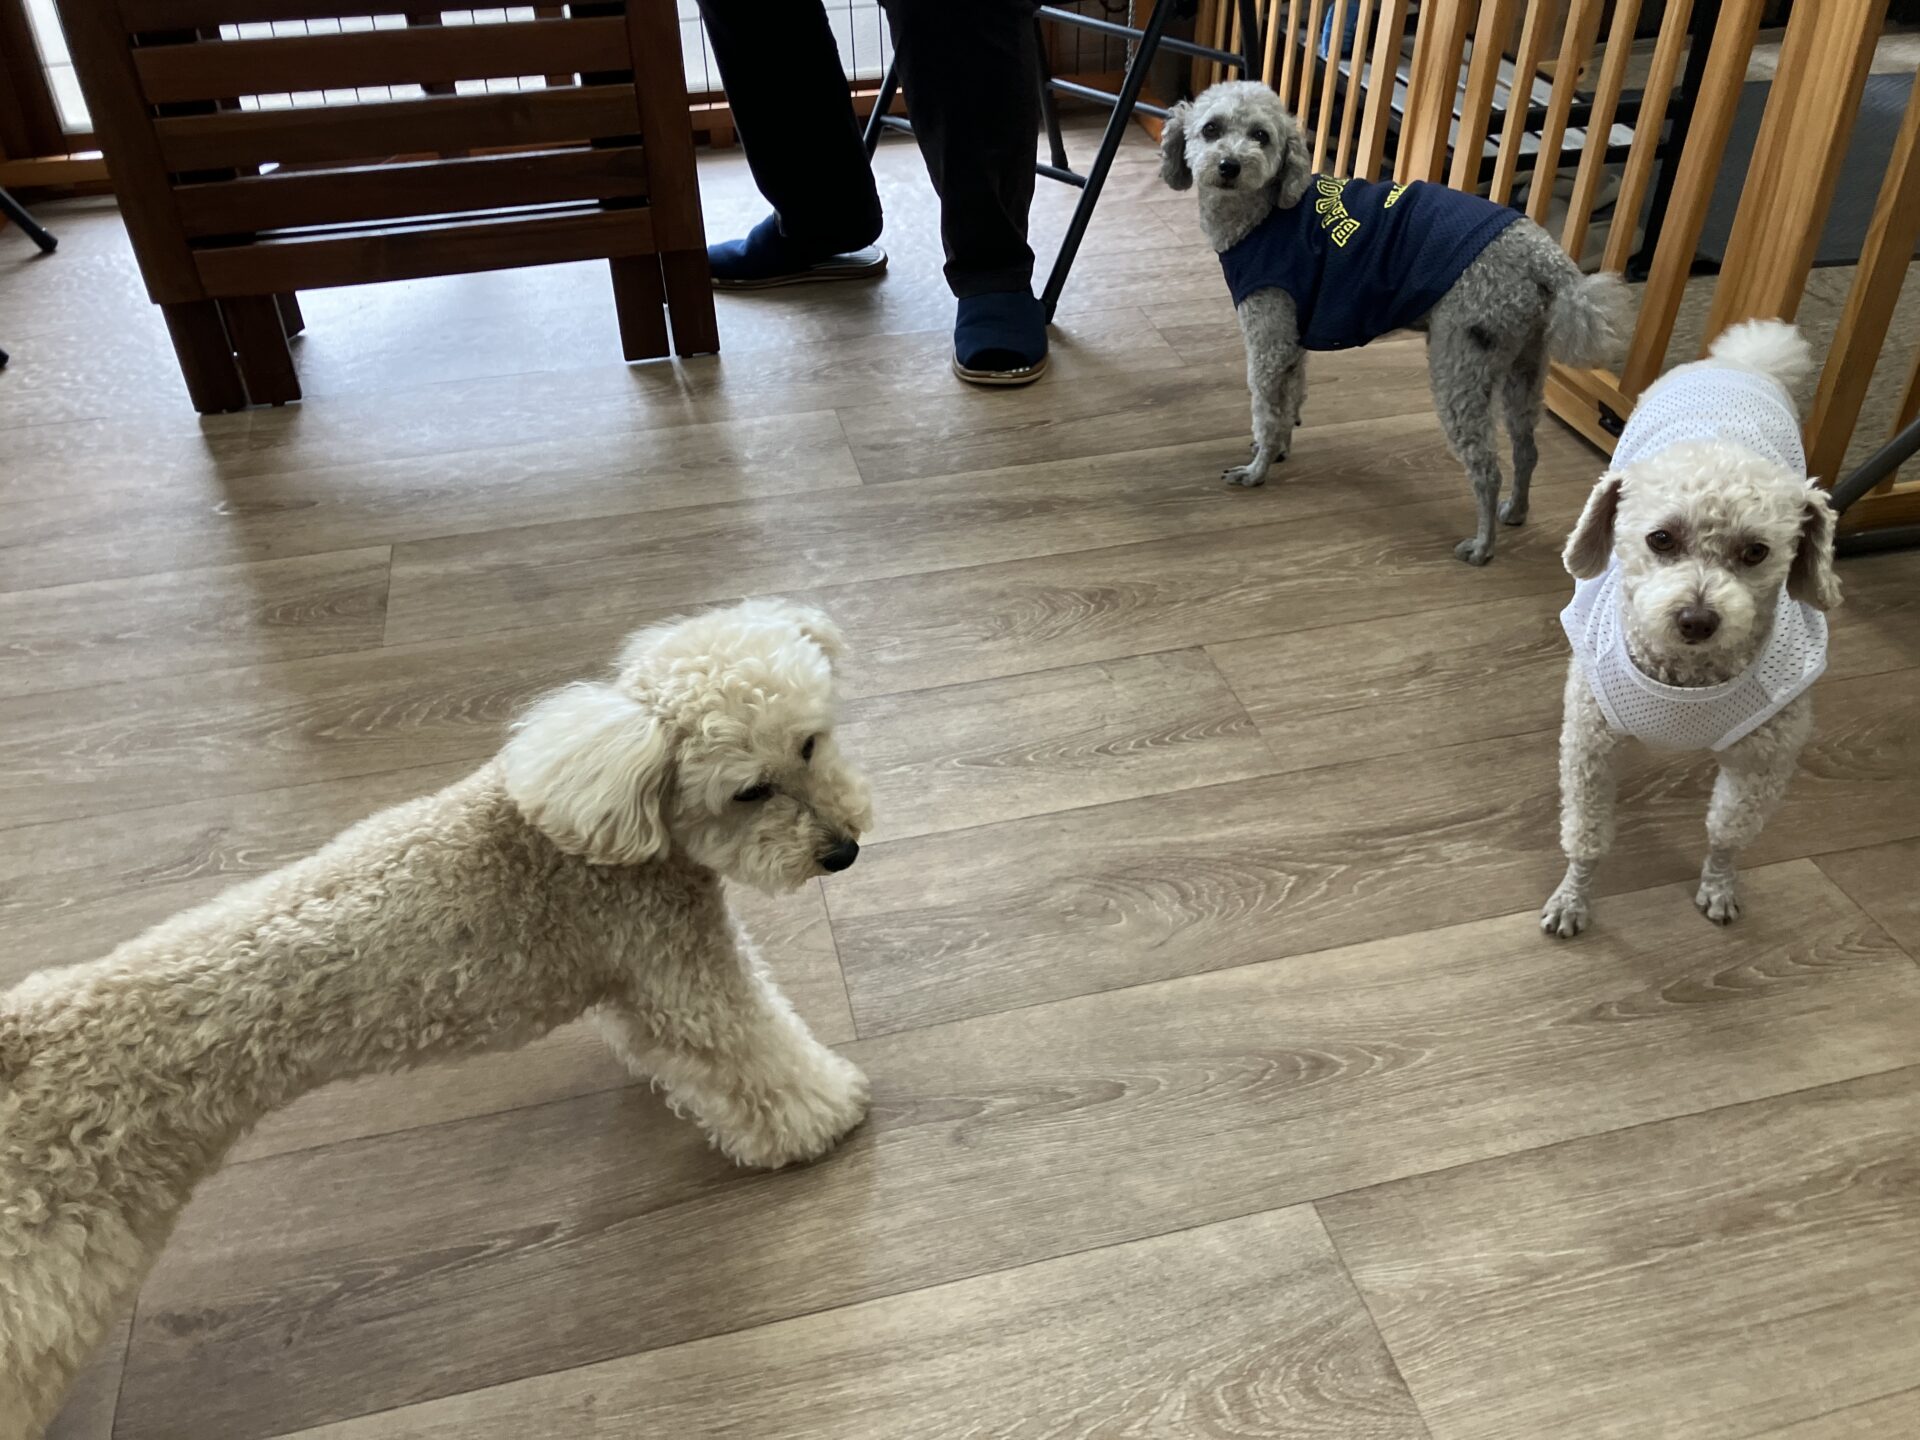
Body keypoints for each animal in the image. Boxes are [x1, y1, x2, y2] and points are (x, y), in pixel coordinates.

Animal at [0, 598, 874, 1436]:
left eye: (810, 743)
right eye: (748, 791)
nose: (844, 852)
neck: (616, 820)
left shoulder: (636, 980)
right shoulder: (687, 974)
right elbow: (762, 1058)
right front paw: (828, 1117)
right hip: (46, 1279)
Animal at [1160, 80, 1633, 564]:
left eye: (1261, 136)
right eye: (1211, 129)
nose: (1229, 166)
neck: (1263, 214)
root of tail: (1547, 257)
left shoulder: (1269, 335)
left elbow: (1266, 410)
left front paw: (1257, 469)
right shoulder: (1290, 338)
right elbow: (1290, 400)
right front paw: (1279, 451)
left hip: (1460, 361)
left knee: (1486, 467)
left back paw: (1482, 546)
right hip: (1524, 362)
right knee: (1526, 450)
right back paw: (1515, 511)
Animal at [1541, 320, 1842, 938]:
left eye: (1756, 551)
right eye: (1660, 539)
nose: (1697, 620)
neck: (1687, 676)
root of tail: (1740, 361)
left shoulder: (1762, 759)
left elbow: (1728, 832)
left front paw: (1719, 884)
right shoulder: (1589, 744)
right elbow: (1585, 834)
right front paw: (1573, 897)